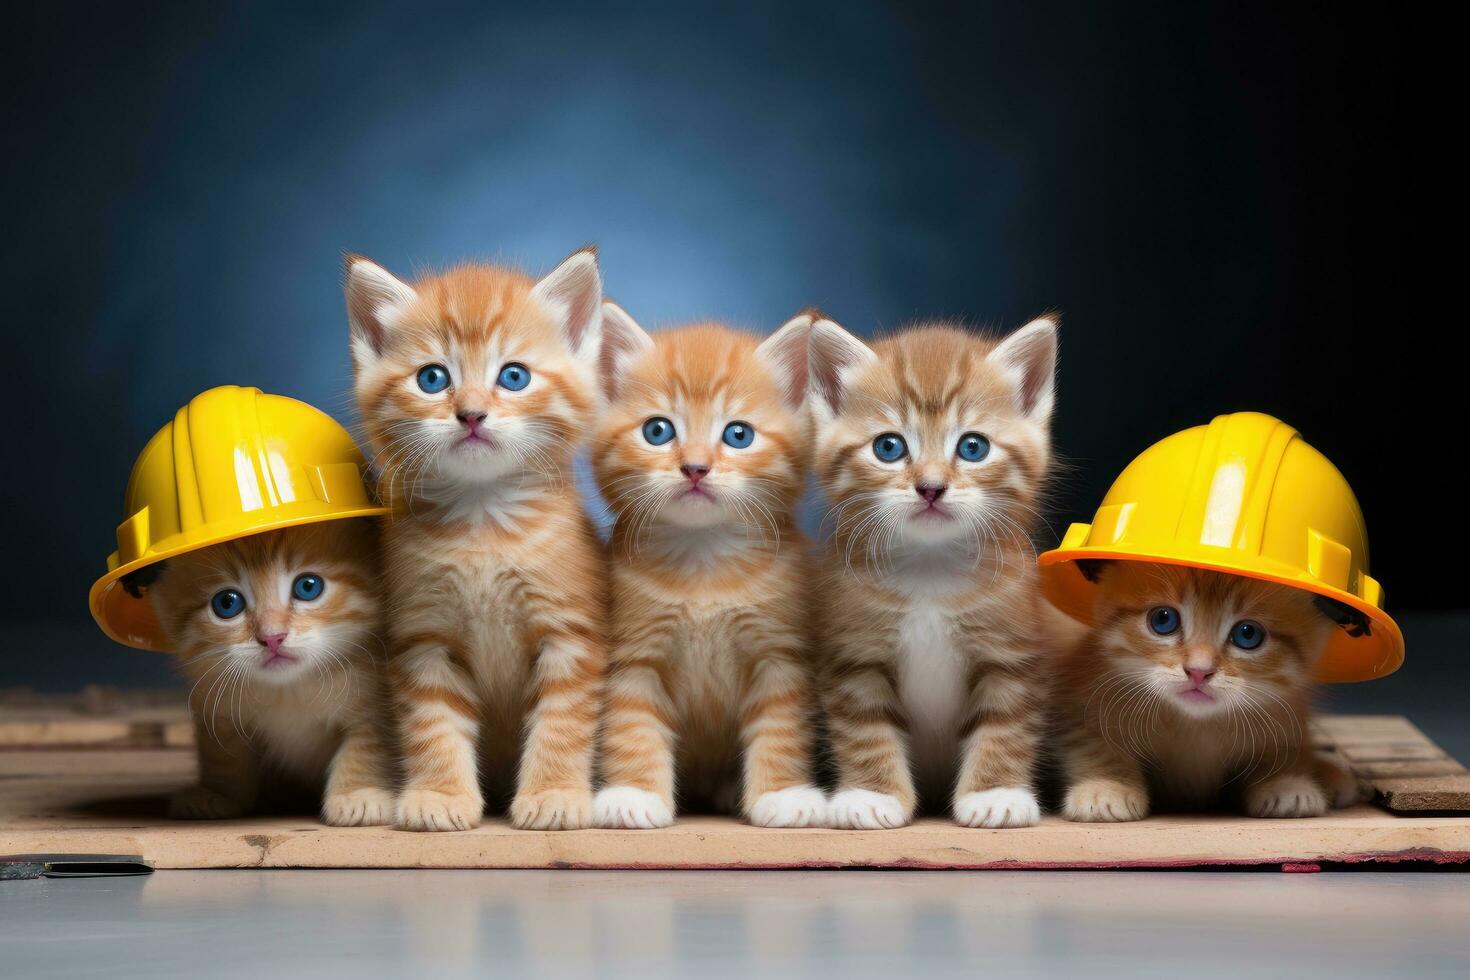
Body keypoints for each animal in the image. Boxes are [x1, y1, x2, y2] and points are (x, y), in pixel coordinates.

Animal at [147, 525, 396, 822]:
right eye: (227, 603)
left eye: (308, 586)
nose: (272, 637)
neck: (289, 689)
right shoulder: (216, 704)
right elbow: (224, 756)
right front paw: (218, 793)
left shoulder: (374, 703)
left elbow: (366, 746)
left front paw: (357, 794)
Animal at [345, 246, 608, 828]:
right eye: (432, 378)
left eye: (513, 376)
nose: (470, 414)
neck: (483, 522)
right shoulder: (423, 637)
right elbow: (433, 723)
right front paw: (440, 796)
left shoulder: (570, 632)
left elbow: (562, 718)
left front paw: (554, 793)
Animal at [593, 308, 829, 828]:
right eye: (657, 431)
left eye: (738, 435)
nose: (696, 468)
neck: (703, 563)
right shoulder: (634, 654)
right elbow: (632, 722)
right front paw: (633, 794)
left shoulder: (780, 655)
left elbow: (780, 725)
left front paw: (782, 794)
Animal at [805, 315, 1058, 828]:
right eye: (888, 447)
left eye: (973, 447)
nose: (931, 487)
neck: (930, 569)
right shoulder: (852, 652)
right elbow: (864, 725)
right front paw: (872, 795)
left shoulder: (1014, 650)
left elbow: (1006, 721)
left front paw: (995, 794)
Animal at [1052, 558, 1358, 822]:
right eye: (1163, 620)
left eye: (1248, 634)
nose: (1199, 671)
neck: (1194, 724)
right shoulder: (1083, 701)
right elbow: (1096, 744)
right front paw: (1105, 786)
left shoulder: (1287, 711)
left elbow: (1286, 749)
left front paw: (1287, 783)